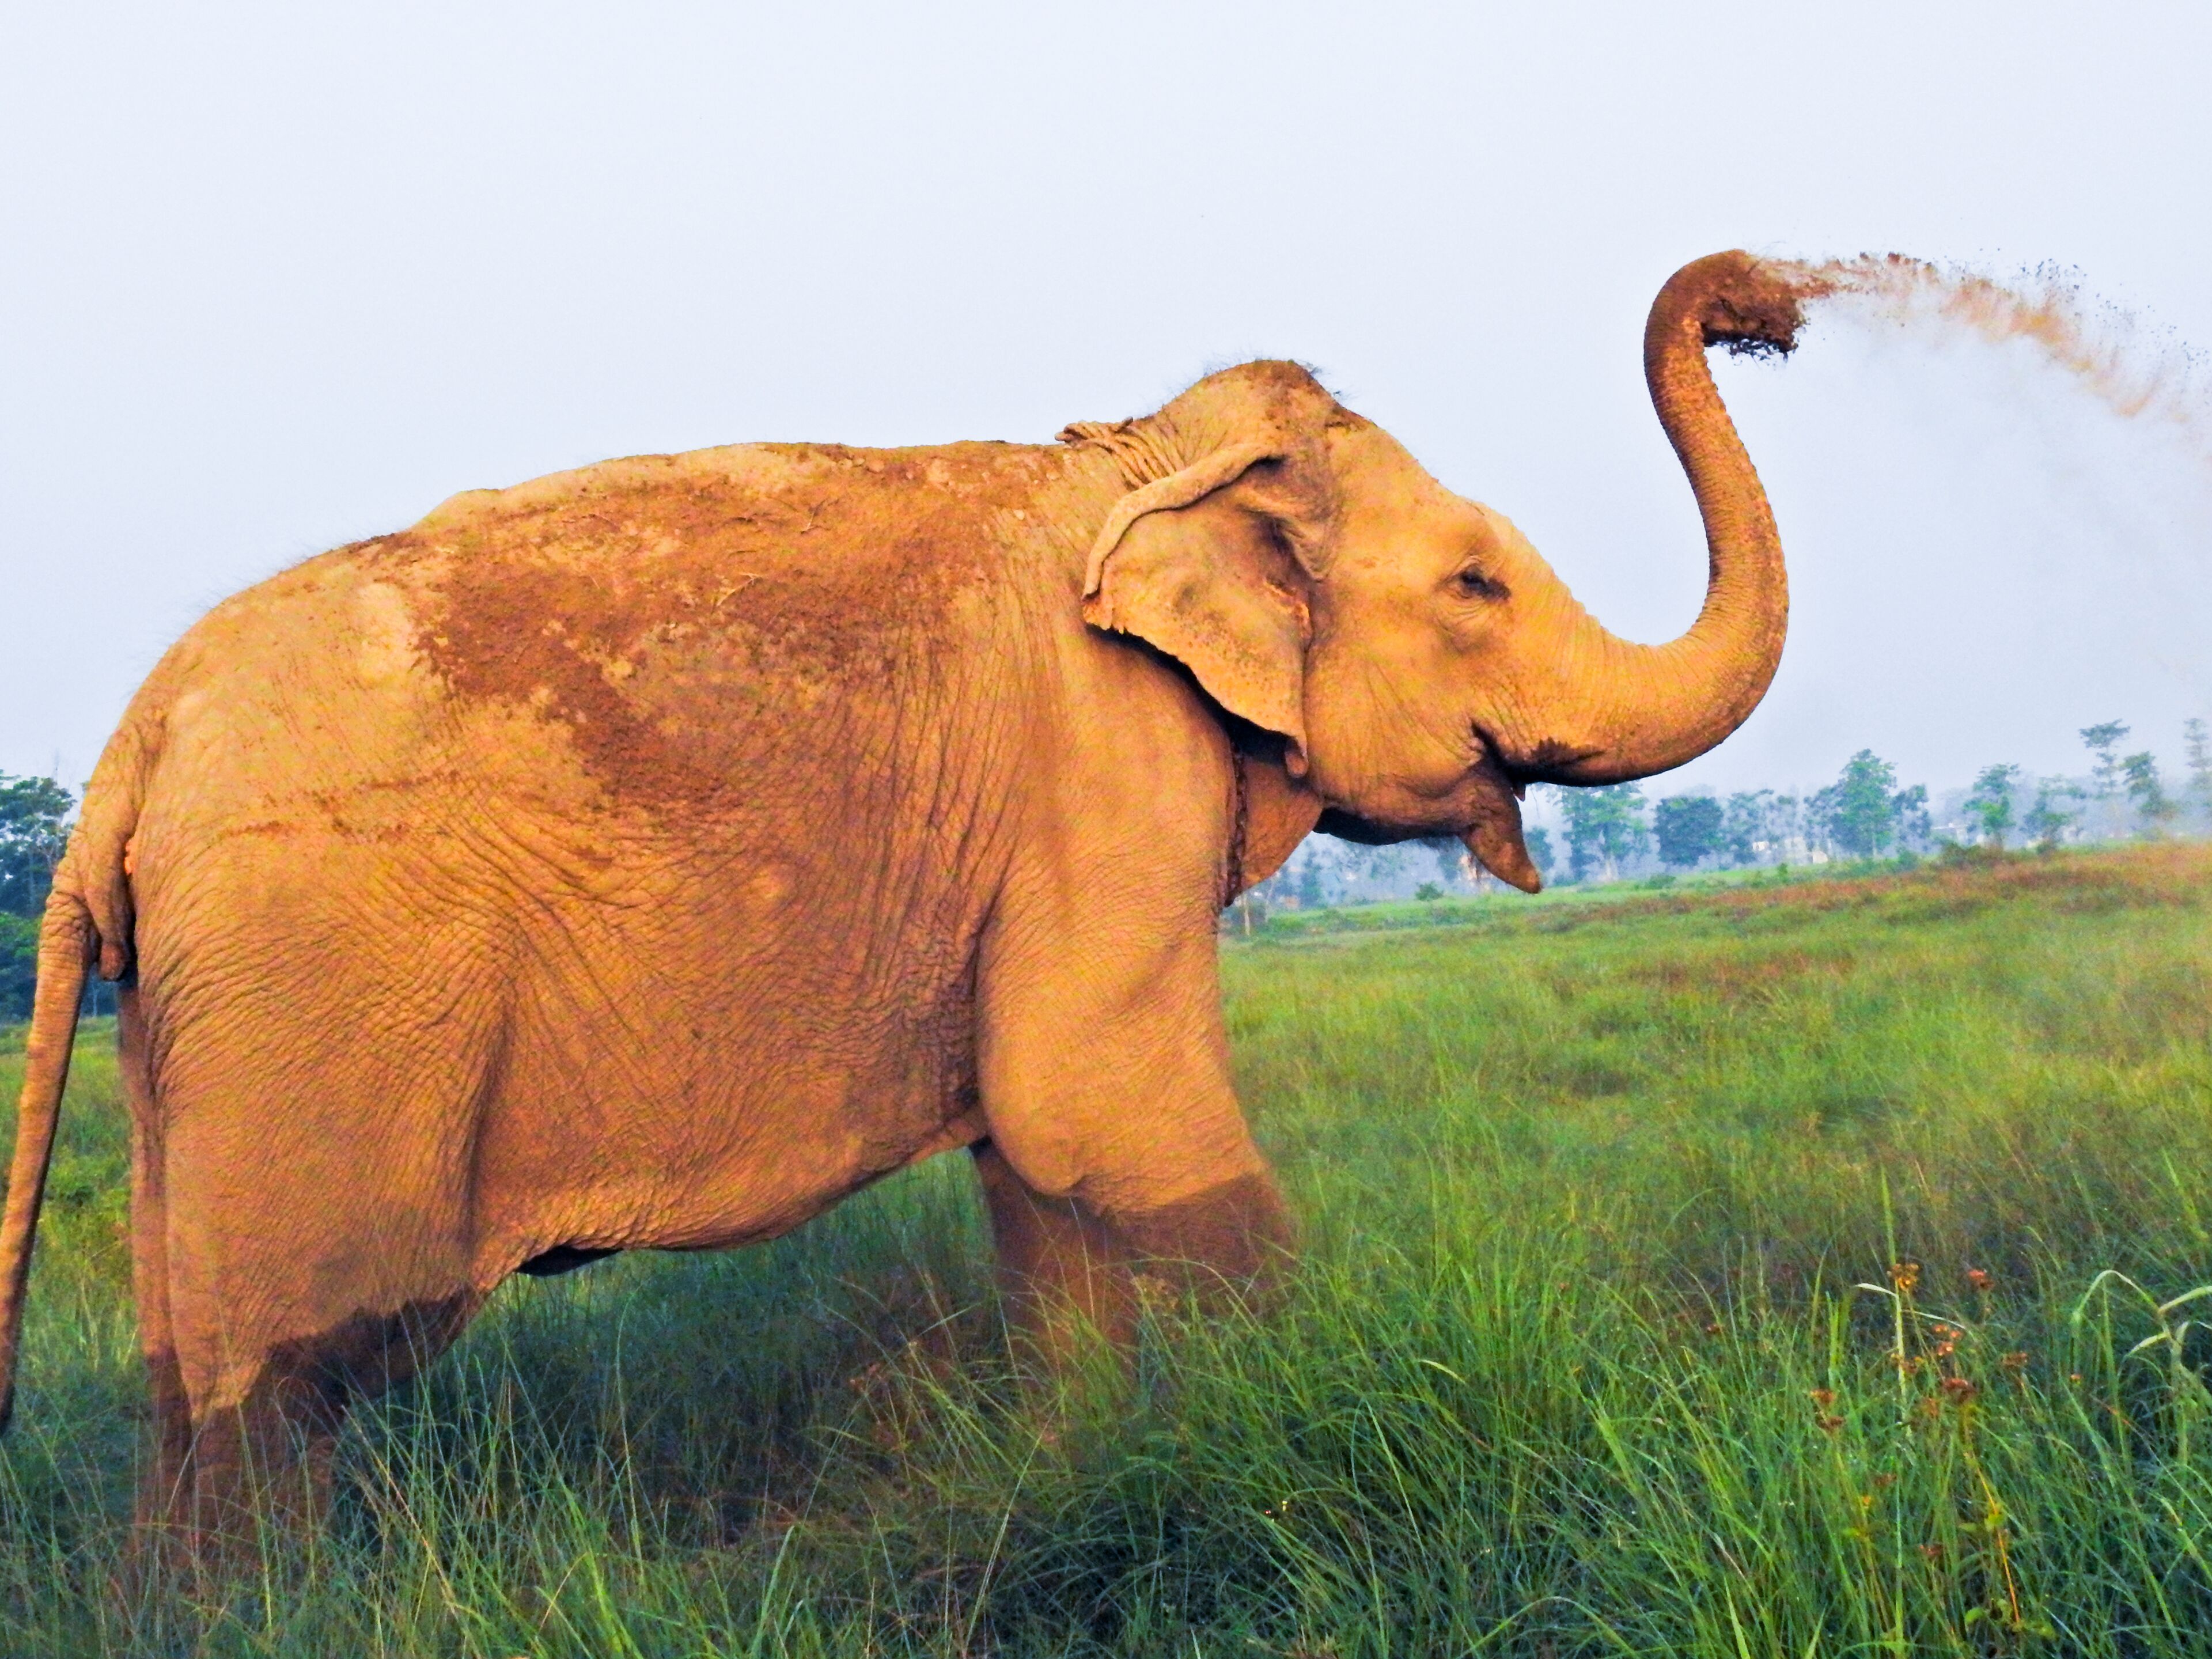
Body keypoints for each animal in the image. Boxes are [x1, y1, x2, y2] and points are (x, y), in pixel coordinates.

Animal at [0, 250, 1806, 1540]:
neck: (1150, 457)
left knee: (187, 1381)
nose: (1762, 307)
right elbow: (1098, 1109)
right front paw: (1337, 1400)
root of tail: (125, 758)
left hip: (192, 1020)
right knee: (294, 1383)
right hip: (327, 986)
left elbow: (1039, 1160)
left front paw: (1087, 1470)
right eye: (1477, 585)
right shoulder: (1105, 763)